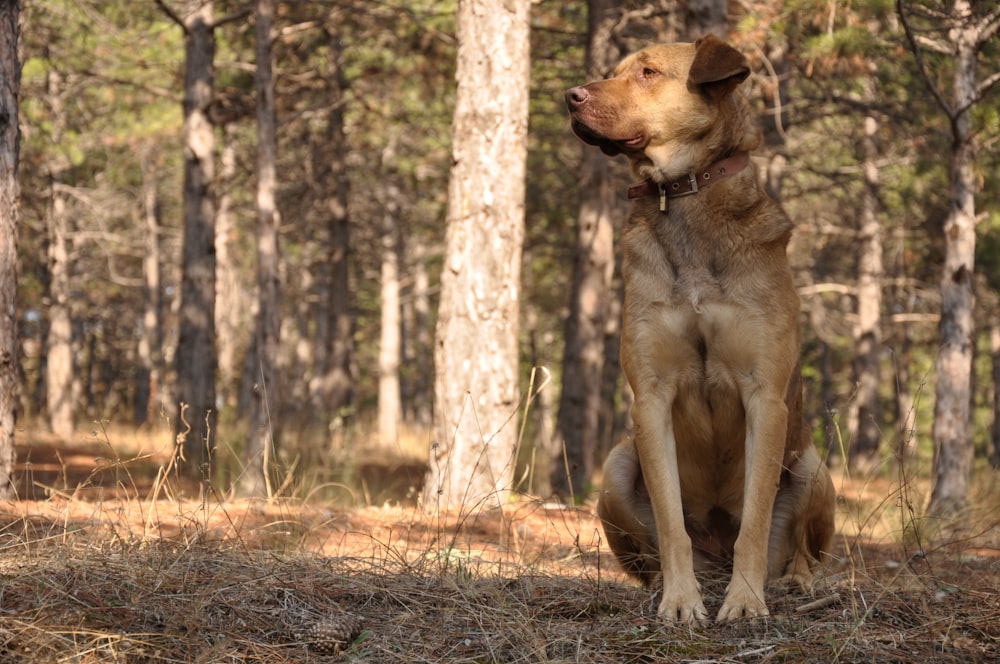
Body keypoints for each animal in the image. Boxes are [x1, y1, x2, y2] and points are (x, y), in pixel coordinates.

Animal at [564, 35, 836, 624]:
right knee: (649, 552)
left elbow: (754, 520)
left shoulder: (765, 397)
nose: (570, 96)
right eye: (612, 71)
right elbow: (671, 524)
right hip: (616, 466)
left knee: (803, 549)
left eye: (647, 72)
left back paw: (795, 581)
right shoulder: (651, 398)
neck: (685, 194)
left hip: (812, 467)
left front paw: (746, 601)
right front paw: (681, 601)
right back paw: (660, 587)